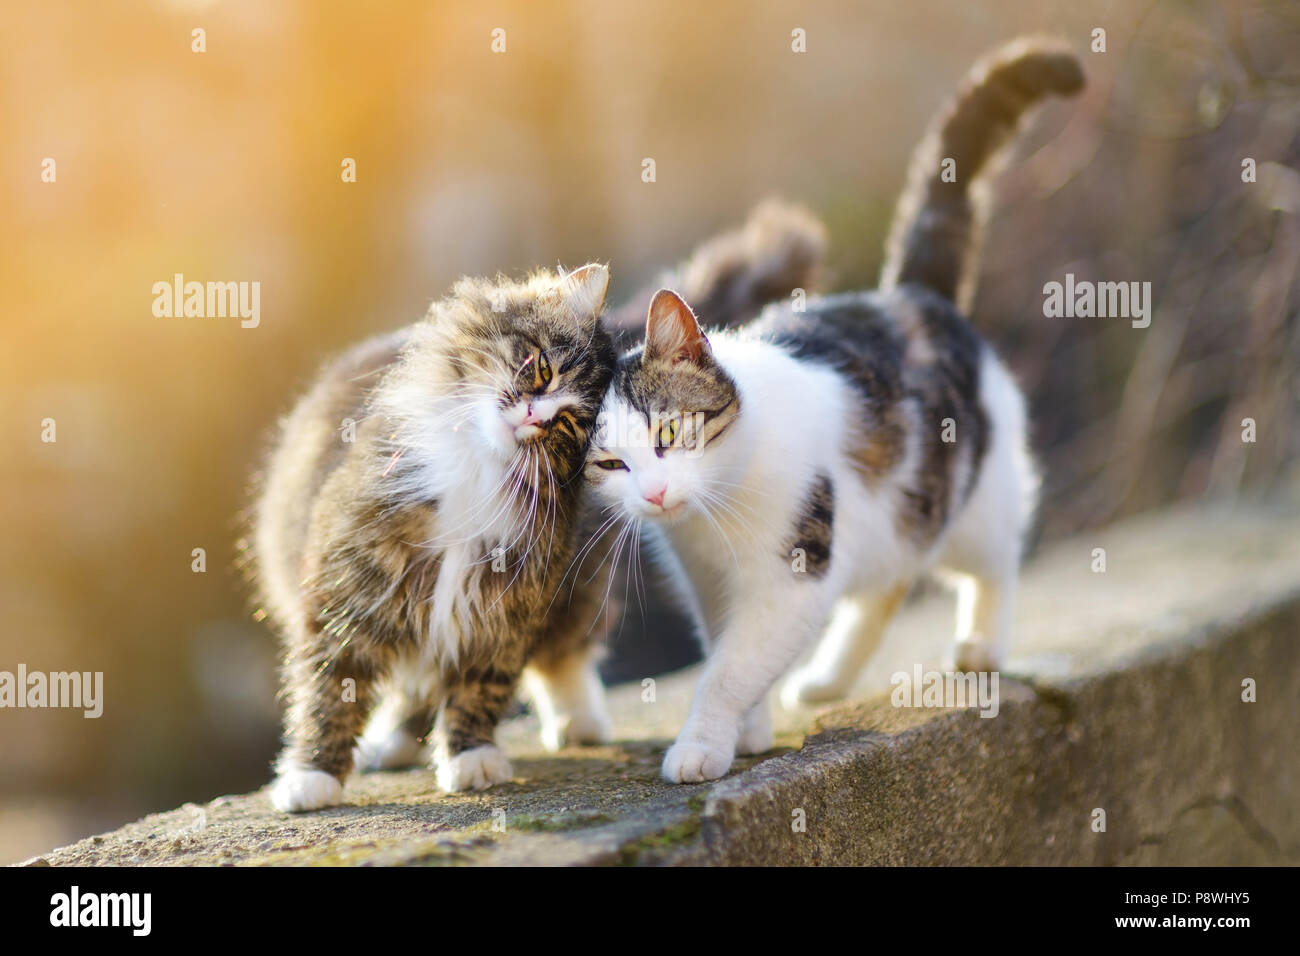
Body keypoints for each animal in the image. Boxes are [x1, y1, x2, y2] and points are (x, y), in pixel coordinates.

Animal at [585, 39, 1081, 785]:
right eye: (611, 463)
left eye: (670, 432)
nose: (656, 493)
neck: (716, 513)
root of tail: (908, 294)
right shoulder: (710, 584)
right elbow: (729, 652)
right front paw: (748, 731)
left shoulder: (792, 577)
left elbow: (728, 670)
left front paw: (701, 745)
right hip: (891, 516)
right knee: (887, 584)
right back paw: (827, 679)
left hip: (974, 497)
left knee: (994, 561)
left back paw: (981, 645)